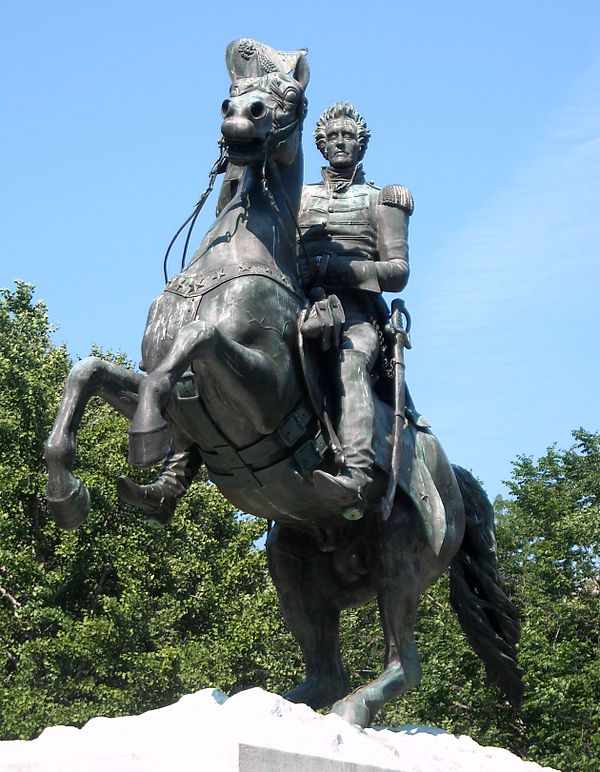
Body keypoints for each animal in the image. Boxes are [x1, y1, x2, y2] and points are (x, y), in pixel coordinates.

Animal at [43, 39, 520, 728]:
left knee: (403, 663)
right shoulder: (173, 390)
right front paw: (70, 493)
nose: (241, 115)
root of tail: (453, 480)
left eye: (291, 99)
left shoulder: (261, 391)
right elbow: (90, 372)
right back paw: (258, 708)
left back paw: (350, 712)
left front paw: (144, 436)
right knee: (325, 670)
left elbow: (196, 342)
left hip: (400, 562)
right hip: (293, 563)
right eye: (230, 91)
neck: (236, 253)